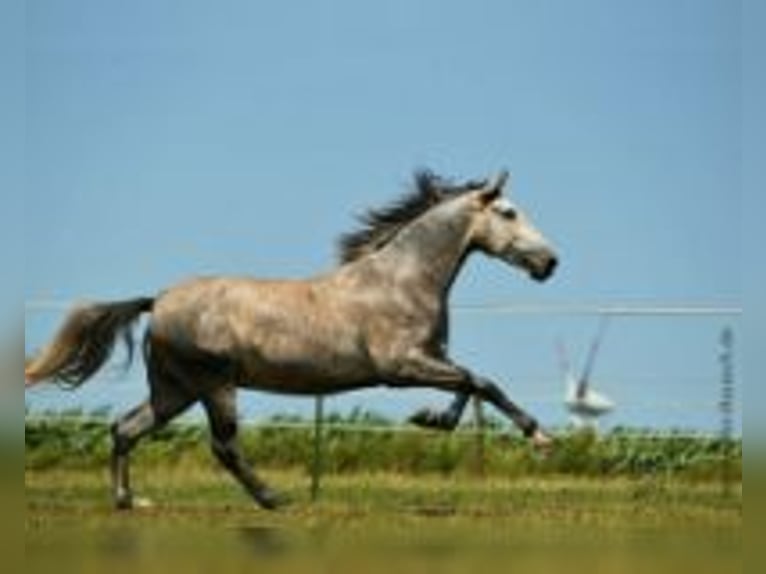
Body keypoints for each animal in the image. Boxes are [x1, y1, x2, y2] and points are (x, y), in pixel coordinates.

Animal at [25, 169, 558, 510]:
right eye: (509, 212)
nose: (550, 262)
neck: (401, 280)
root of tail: (158, 302)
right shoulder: (401, 366)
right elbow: (480, 382)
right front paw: (540, 438)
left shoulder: (429, 359)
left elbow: (468, 384)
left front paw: (430, 419)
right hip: (214, 384)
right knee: (222, 446)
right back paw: (273, 499)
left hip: (175, 390)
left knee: (125, 428)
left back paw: (127, 501)